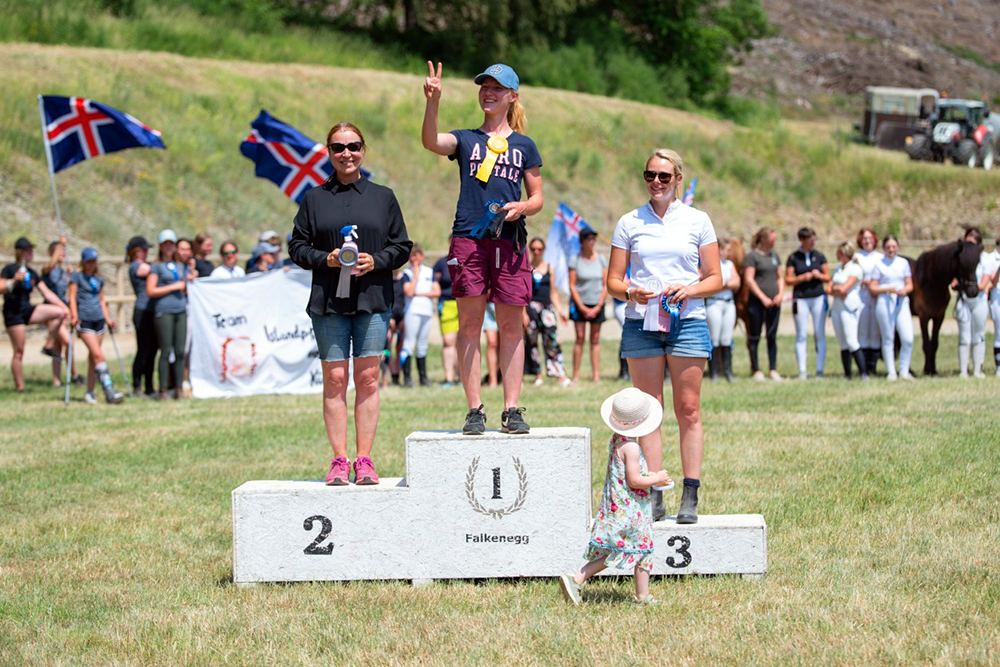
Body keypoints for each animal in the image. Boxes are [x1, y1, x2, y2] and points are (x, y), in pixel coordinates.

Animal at [912, 240, 980, 376]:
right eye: (962, 264)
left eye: (977, 263)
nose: (973, 291)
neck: (931, 282)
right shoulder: (923, 317)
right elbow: (926, 344)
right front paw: (927, 370)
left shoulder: (939, 317)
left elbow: (934, 344)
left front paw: (933, 370)